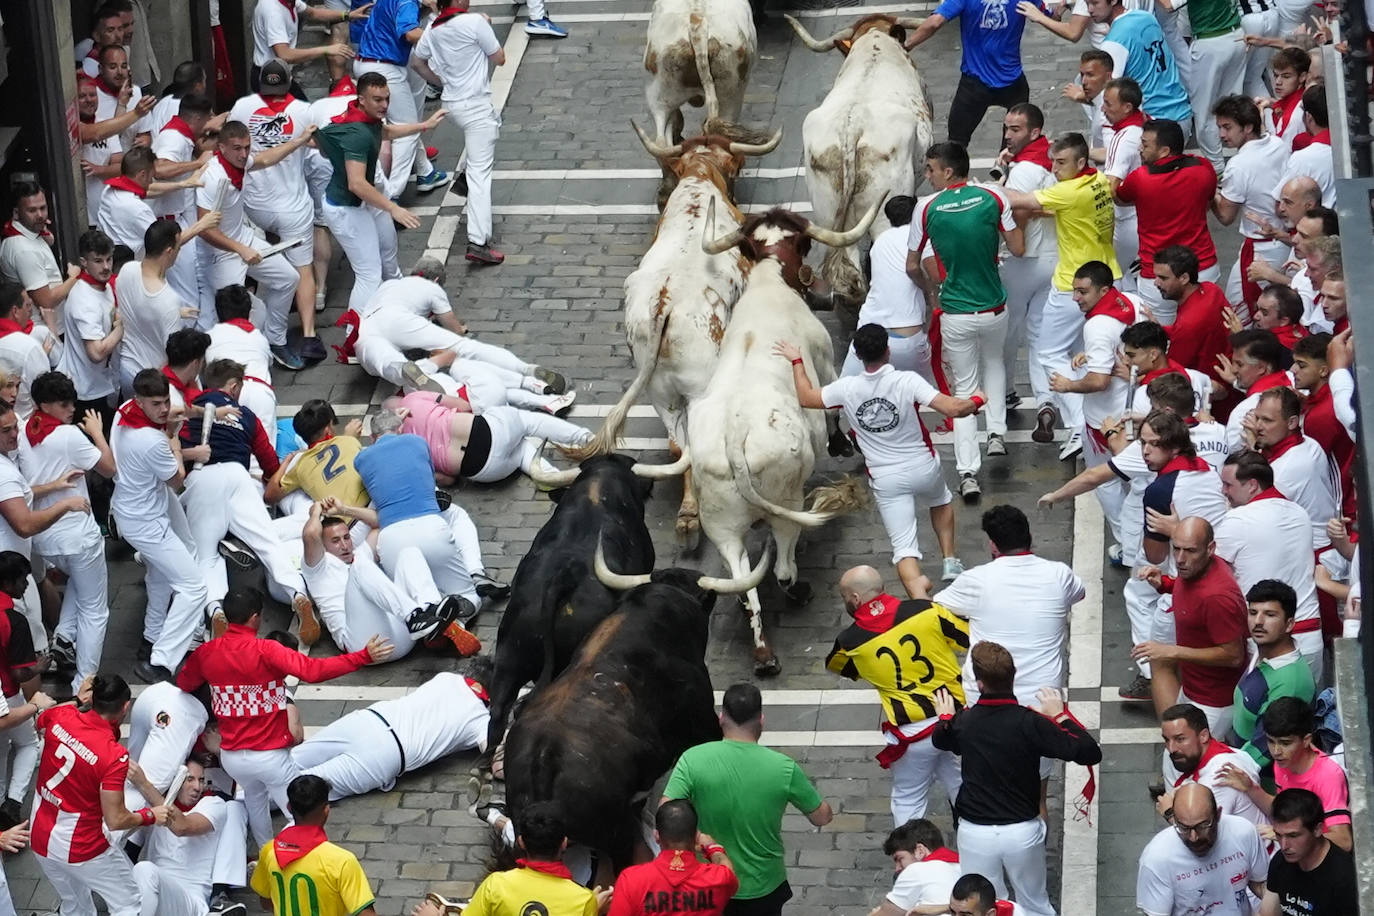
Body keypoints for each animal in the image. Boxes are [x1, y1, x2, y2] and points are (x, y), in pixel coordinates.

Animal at [571, 128, 785, 543]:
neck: (699, 176)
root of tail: (665, 306)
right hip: (697, 385)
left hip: (660, 393)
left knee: (676, 445)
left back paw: (688, 516)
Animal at [687, 200, 879, 672]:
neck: (769, 282)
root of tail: (734, 435)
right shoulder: (826, 364)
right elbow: (832, 407)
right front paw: (840, 442)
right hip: (786, 504)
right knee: (783, 570)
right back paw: (798, 594)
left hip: (721, 525)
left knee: (744, 585)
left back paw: (763, 653)